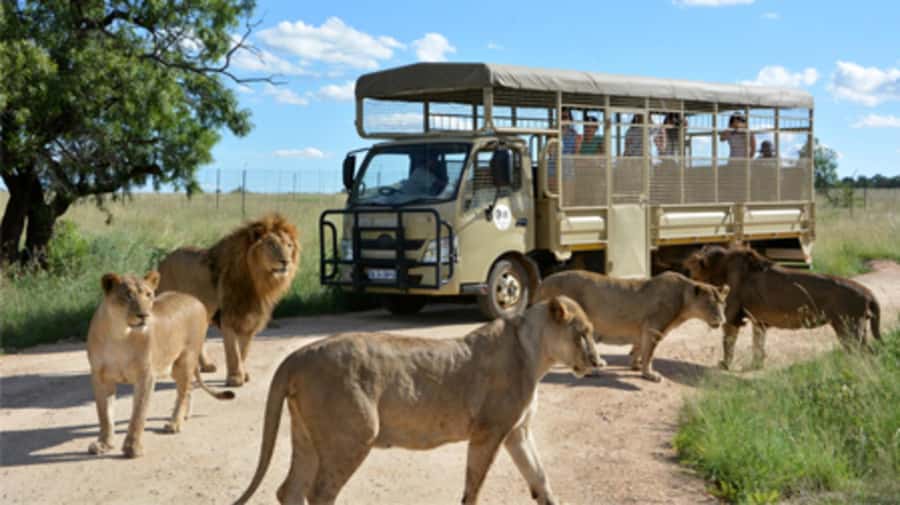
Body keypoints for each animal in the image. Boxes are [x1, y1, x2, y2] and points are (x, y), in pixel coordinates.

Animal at [86, 271, 235, 458]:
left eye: (149, 295)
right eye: (128, 295)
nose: (144, 315)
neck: (119, 334)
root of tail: (195, 299)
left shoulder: (146, 376)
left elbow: (138, 413)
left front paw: (132, 448)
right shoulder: (100, 376)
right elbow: (104, 414)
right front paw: (103, 444)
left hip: (184, 361)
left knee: (183, 391)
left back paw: (175, 423)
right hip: (173, 367)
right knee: (188, 388)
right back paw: (185, 416)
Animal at [157, 213, 300, 386]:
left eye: (289, 245)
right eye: (271, 244)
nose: (286, 261)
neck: (258, 282)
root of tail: (163, 261)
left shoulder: (250, 319)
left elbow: (243, 351)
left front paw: (243, 374)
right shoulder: (228, 317)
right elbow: (233, 352)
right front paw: (235, 378)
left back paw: (206, 366)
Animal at [233, 296, 601, 505]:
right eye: (583, 333)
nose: (599, 362)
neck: (536, 353)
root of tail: (297, 355)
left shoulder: (516, 432)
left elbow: (540, 479)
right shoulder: (489, 431)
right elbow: (474, 487)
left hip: (306, 435)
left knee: (290, 491)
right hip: (352, 436)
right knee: (319, 493)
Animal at [535, 270, 728, 382]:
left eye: (723, 304)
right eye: (710, 304)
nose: (722, 320)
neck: (683, 300)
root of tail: (543, 282)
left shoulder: (644, 328)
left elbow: (639, 348)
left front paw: (635, 365)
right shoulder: (653, 328)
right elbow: (649, 353)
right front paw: (649, 374)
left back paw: (599, 363)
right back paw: (591, 371)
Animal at [684, 245, 881, 370]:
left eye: (692, 270)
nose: (688, 280)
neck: (720, 267)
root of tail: (868, 293)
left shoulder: (732, 317)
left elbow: (728, 343)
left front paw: (725, 365)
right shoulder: (759, 320)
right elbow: (758, 344)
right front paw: (756, 365)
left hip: (848, 329)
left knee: (861, 353)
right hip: (858, 329)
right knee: (869, 352)